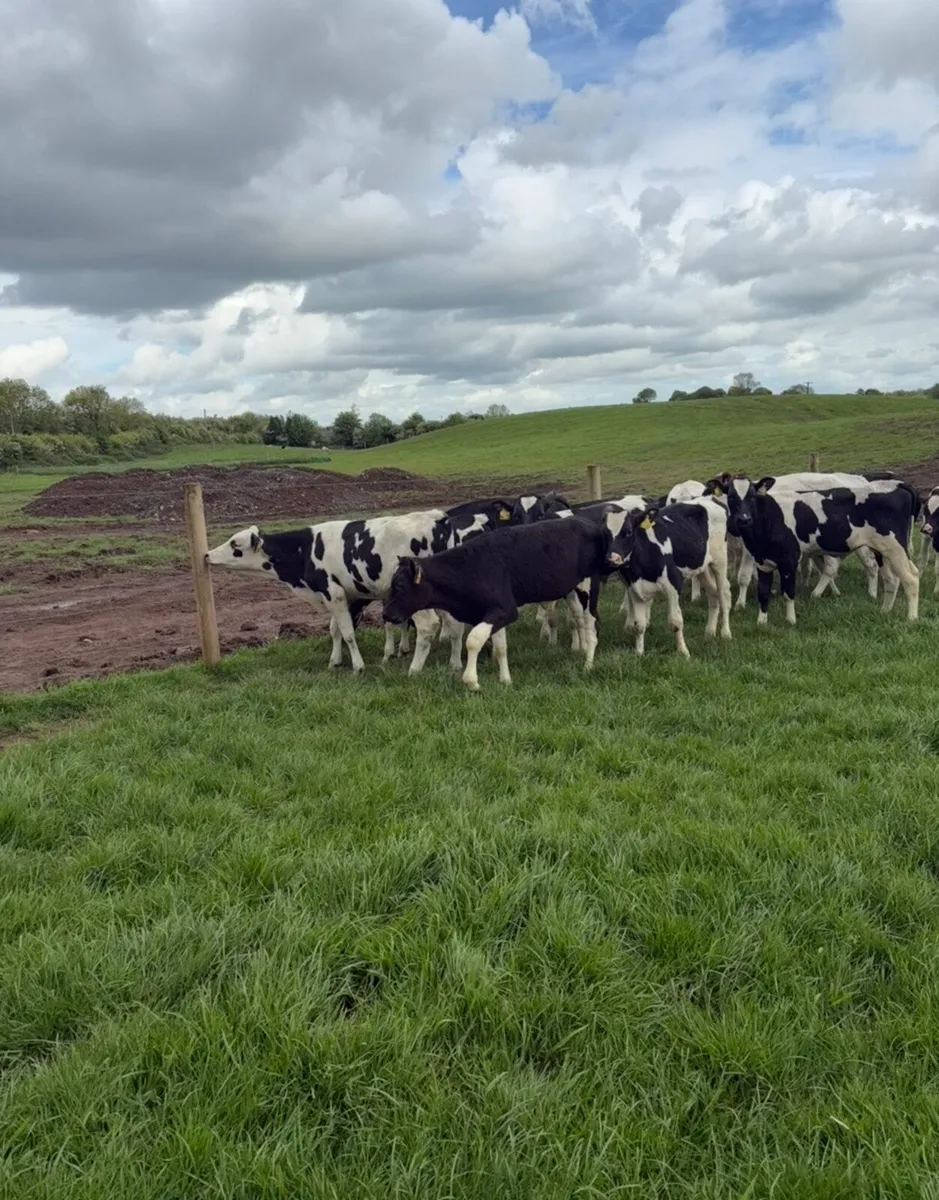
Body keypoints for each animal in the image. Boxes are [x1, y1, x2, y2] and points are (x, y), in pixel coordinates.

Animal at [205, 507, 494, 673]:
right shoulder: (344, 595)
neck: (305, 549)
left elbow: (348, 632)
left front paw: (357, 665)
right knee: (455, 624)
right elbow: (335, 630)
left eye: (235, 544)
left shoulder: (333, 593)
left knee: (428, 627)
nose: (206, 554)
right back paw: (455, 664)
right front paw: (335, 660)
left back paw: (414, 669)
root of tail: (438, 519)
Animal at [382, 515, 626, 690]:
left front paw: (471, 681)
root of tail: (588, 523)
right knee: (582, 620)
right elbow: (500, 646)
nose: (385, 614)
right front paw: (505, 680)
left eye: (400, 586)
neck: (469, 567)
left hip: (589, 586)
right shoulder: (494, 611)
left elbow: (474, 639)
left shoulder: (505, 610)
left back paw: (588, 665)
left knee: (592, 624)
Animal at [609, 498, 732, 656]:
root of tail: (712, 499)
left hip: (720, 561)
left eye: (628, 531)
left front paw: (683, 652)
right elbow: (640, 625)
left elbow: (675, 622)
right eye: (604, 534)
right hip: (701, 566)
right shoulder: (635, 590)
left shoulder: (673, 585)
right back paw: (709, 633)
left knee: (723, 595)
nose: (612, 558)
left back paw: (725, 633)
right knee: (713, 593)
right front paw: (639, 653)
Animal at [720, 475, 920, 625]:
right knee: (892, 580)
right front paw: (761, 622)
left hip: (896, 549)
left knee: (910, 580)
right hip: (882, 551)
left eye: (752, 496)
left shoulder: (789, 560)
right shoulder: (763, 562)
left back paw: (911, 618)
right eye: (731, 497)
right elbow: (763, 593)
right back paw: (885, 611)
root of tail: (897, 484)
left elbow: (788, 593)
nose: (743, 519)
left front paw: (791, 621)